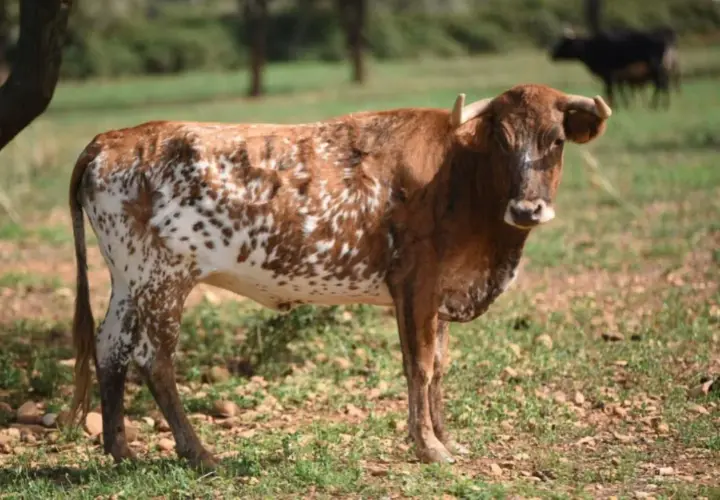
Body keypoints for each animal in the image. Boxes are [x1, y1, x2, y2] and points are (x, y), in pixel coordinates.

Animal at [67, 84, 611, 470]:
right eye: (502, 140)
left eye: (556, 140)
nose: (526, 208)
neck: (461, 173)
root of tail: (110, 139)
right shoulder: (414, 283)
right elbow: (420, 366)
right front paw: (428, 447)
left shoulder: (439, 292)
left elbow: (439, 366)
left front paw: (446, 437)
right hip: (164, 278)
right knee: (153, 359)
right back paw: (199, 453)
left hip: (128, 278)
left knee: (111, 347)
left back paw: (120, 450)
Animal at [550, 26, 679, 109]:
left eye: (564, 42)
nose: (552, 54)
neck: (592, 47)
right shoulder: (616, 78)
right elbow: (614, 91)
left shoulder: (609, 75)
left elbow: (610, 91)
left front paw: (612, 106)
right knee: (663, 86)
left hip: (657, 69)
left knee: (662, 85)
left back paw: (657, 105)